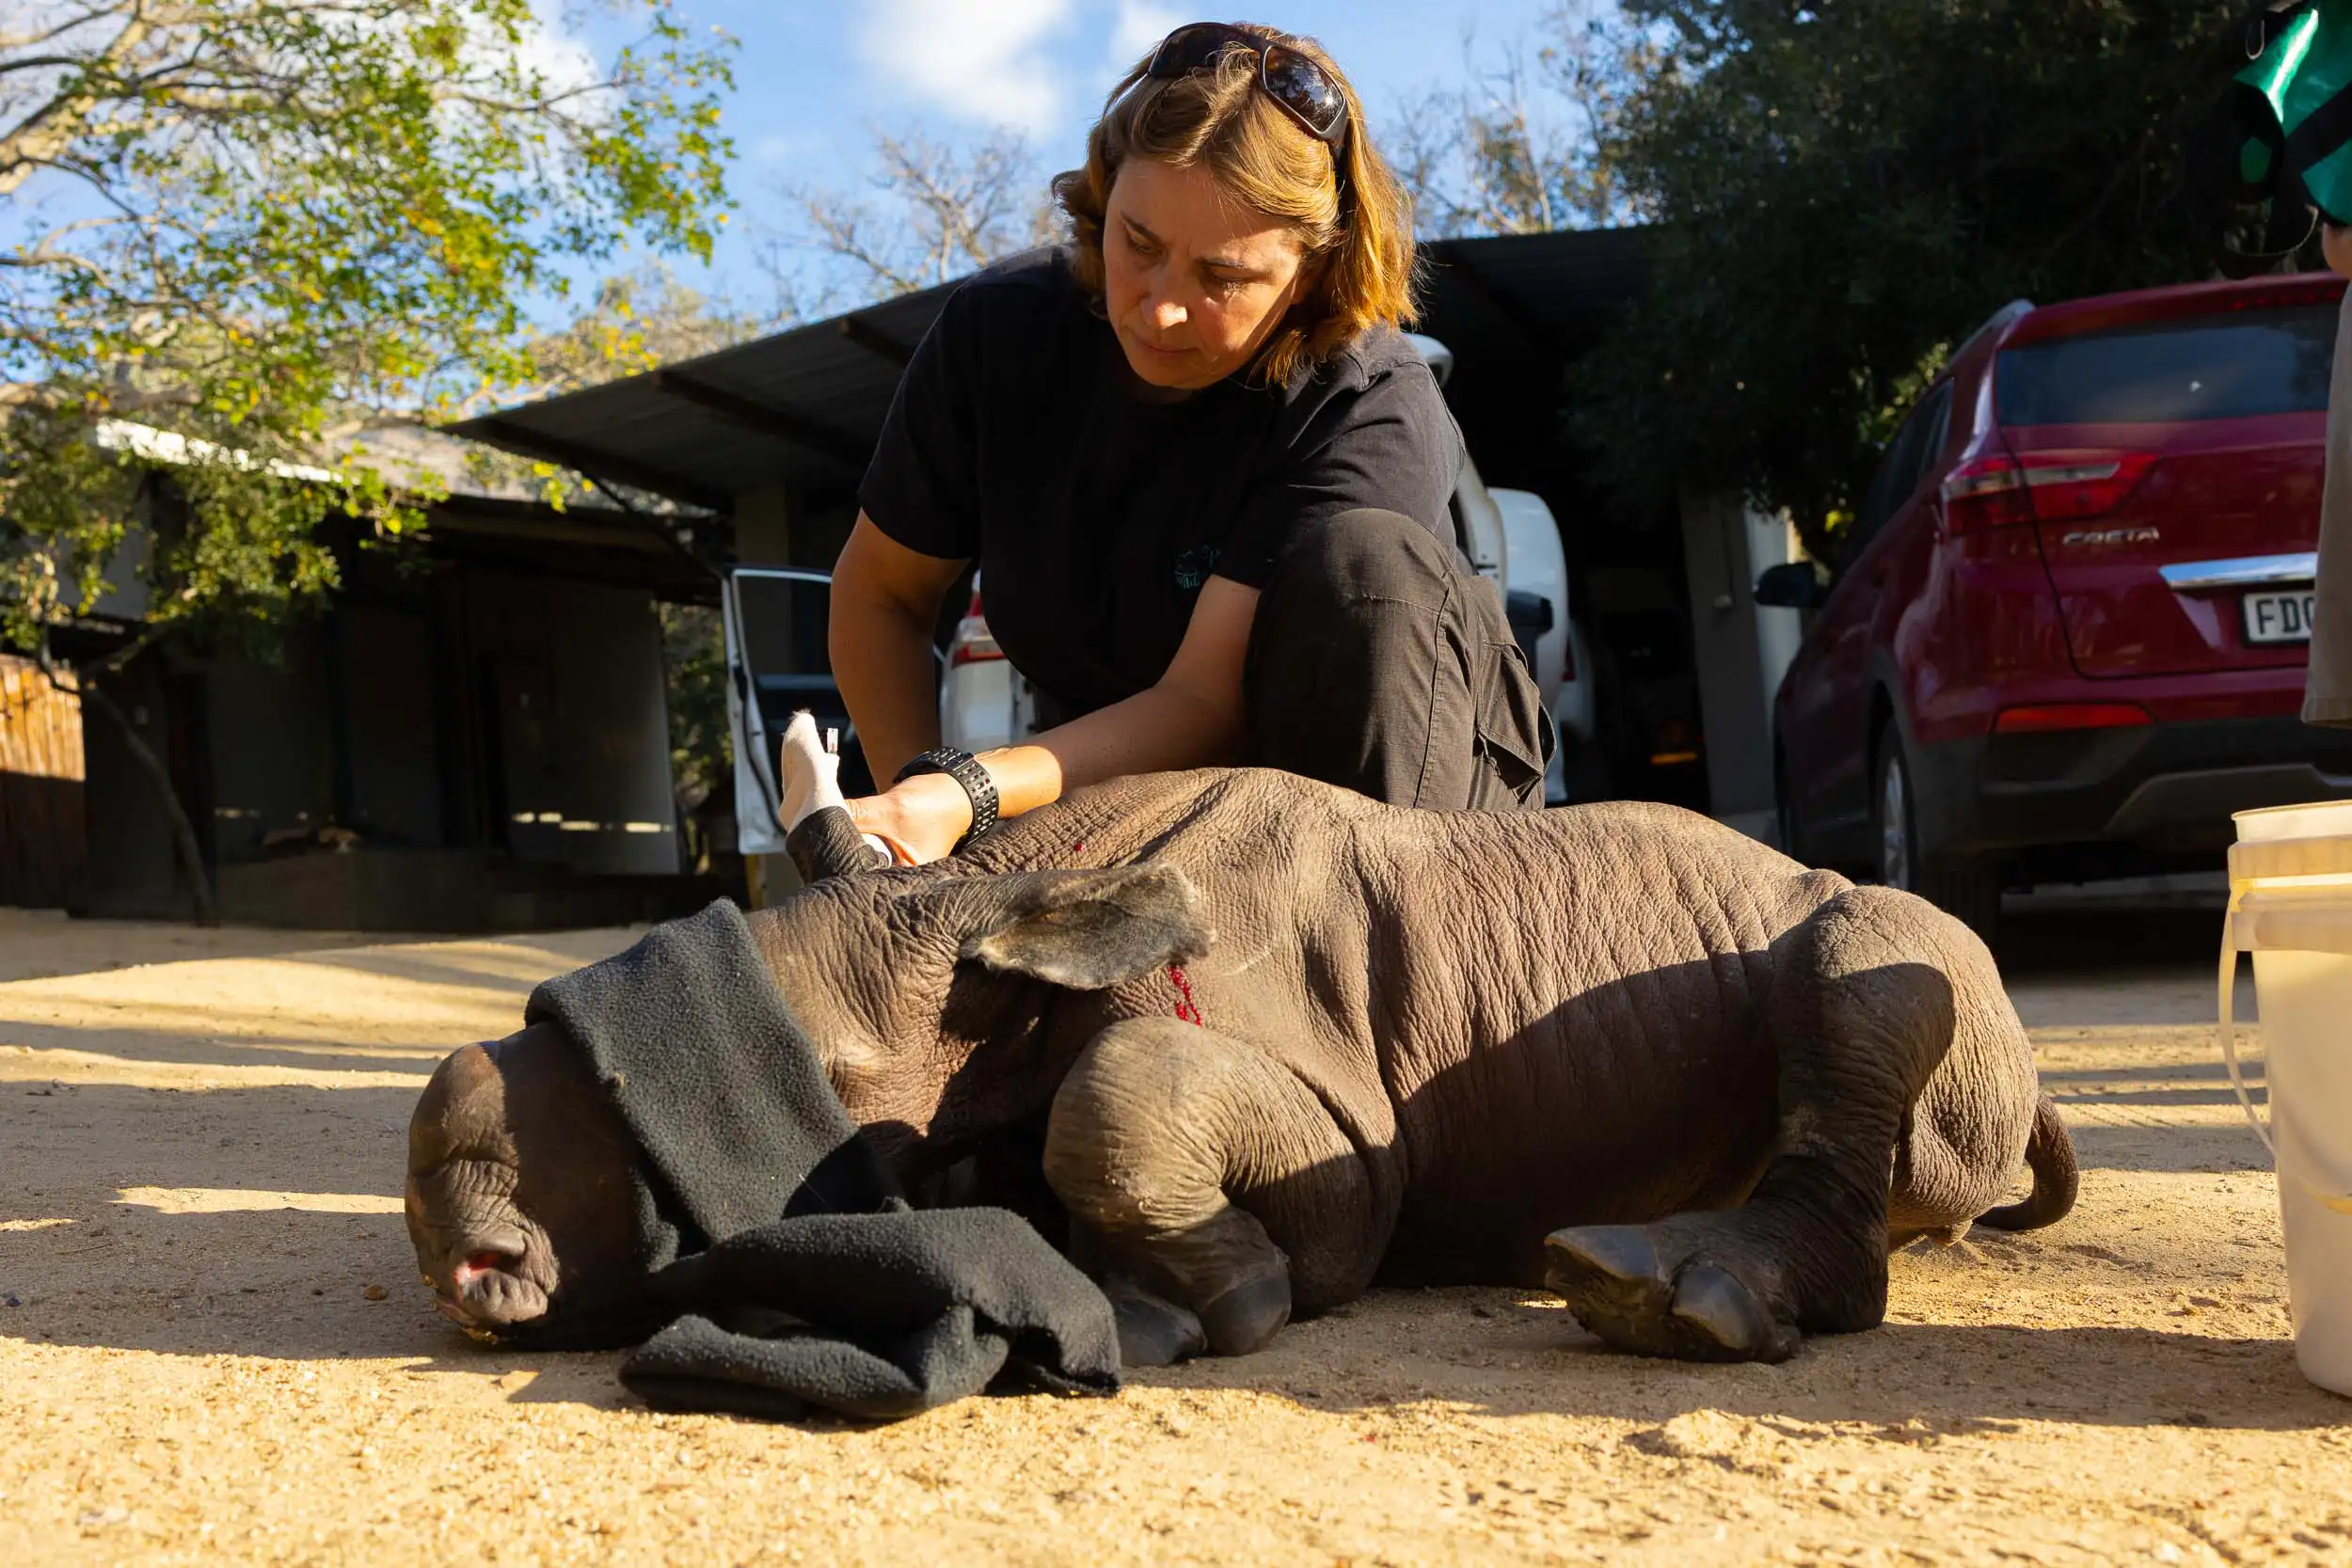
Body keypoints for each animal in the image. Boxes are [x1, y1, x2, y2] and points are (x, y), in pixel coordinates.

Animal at [405, 764, 2076, 1368]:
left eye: (818, 1065)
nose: (445, 1220)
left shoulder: (1349, 1135)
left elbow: (1123, 1109)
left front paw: (1196, 1311)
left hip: (1904, 955)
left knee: (1882, 954)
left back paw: (1678, 1300)